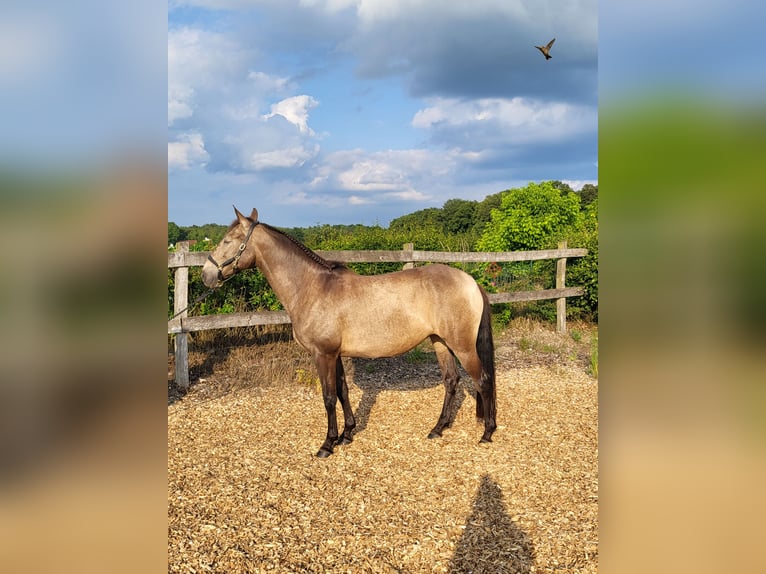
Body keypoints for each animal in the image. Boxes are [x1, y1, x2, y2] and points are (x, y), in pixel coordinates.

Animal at [201, 207, 497, 458]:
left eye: (228, 240)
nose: (206, 275)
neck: (311, 288)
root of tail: (470, 281)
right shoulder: (335, 354)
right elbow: (343, 391)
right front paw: (347, 434)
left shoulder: (323, 354)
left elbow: (329, 397)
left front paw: (327, 444)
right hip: (440, 342)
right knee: (451, 381)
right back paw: (437, 429)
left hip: (462, 346)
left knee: (482, 381)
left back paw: (487, 433)